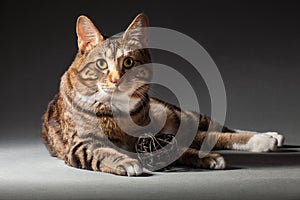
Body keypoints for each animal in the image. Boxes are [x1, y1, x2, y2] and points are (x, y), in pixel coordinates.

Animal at [41, 12, 284, 175]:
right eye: (101, 64)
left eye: (128, 62)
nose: (117, 80)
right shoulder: (81, 144)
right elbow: (103, 152)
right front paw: (127, 162)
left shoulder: (150, 137)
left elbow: (181, 150)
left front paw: (204, 158)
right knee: (207, 136)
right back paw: (266, 141)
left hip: (181, 115)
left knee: (216, 130)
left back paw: (268, 137)